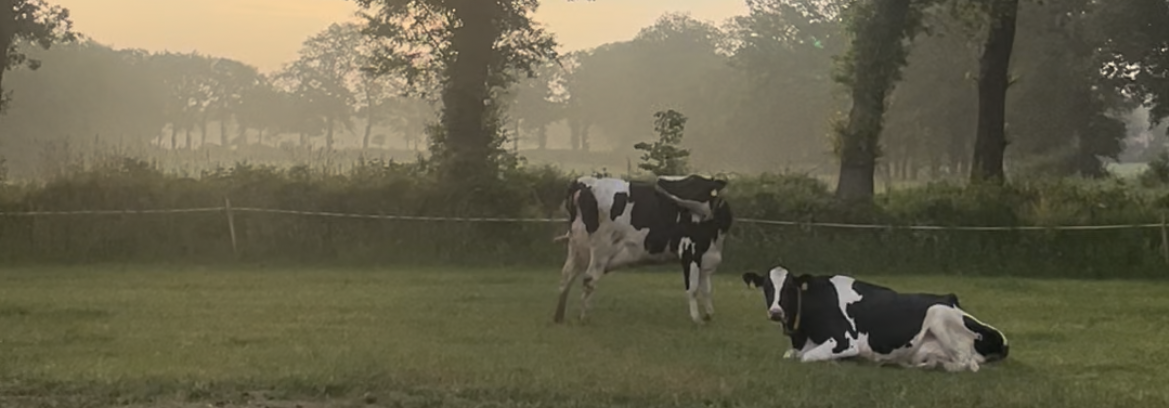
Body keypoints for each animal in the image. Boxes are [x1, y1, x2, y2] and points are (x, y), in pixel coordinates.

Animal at [552, 174, 733, 325]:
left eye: (690, 184)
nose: (660, 183)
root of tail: (586, 183)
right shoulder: (690, 252)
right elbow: (693, 288)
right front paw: (696, 319)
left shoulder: (706, 257)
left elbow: (706, 289)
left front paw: (709, 314)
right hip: (600, 251)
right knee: (589, 279)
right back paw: (584, 318)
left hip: (577, 249)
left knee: (566, 276)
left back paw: (559, 317)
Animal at [741, 266, 1009, 372]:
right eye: (766, 288)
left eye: (788, 288)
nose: (776, 312)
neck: (802, 334)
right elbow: (790, 355)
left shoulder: (844, 341)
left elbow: (806, 358)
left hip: (938, 313)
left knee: (967, 364)